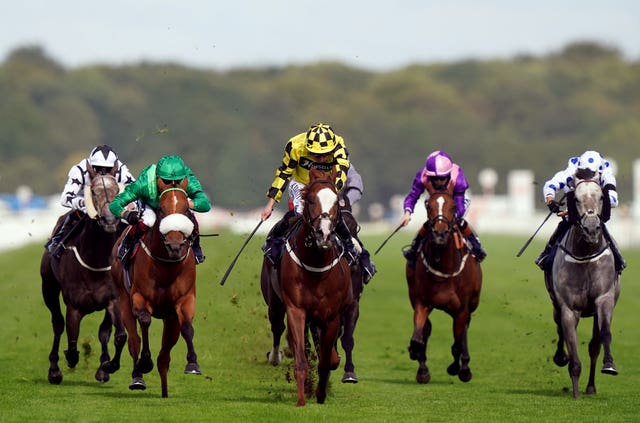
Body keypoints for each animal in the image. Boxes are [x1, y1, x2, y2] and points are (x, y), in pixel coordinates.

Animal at [40, 167, 126, 386]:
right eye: (94, 192)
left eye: (117, 190)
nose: (109, 220)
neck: (95, 259)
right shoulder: (74, 306)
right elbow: (71, 341)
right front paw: (69, 360)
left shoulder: (114, 300)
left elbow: (116, 335)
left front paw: (107, 366)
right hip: (48, 288)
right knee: (57, 324)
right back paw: (54, 370)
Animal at [111, 175, 199, 398]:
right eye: (161, 210)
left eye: (186, 210)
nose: (175, 245)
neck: (166, 268)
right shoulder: (139, 298)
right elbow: (144, 321)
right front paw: (145, 362)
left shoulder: (184, 300)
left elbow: (187, 327)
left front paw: (193, 363)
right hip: (123, 300)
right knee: (134, 340)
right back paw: (137, 377)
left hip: (170, 318)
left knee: (164, 356)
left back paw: (165, 390)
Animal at [260, 169, 352, 408]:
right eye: (310, 200)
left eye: (336, 202)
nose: (324, 235)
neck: (316, 266)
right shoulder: (296, 309)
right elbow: (301, 359)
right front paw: (302, 399)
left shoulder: (331, 316)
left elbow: (327, 360)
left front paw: (320, 394)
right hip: (275, 304)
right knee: (277, 328)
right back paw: (275, 357)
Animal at [408, 190, 482, 386]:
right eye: (428, 206)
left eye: (453, 206)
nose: (440, 234)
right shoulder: (421, 303)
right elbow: (419, 337)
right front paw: (416, 357)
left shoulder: (462, 308)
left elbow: (458, 340)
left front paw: (460, 368)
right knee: (427, 330)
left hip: (471, 304)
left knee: (463, 332)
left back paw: (463, 367)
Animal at [544, 181, 620, 400]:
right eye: (576, 198)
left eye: (601, 197)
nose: (591, 228)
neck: (585, 255)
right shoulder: (569, 308)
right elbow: (571, 343)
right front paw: (575, 392)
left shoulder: (604, 299)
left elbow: (604, 335)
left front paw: (609, 365)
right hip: (556, 305)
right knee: (559, 328)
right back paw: (561, 357)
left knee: (594, 346)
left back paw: (591, 386)